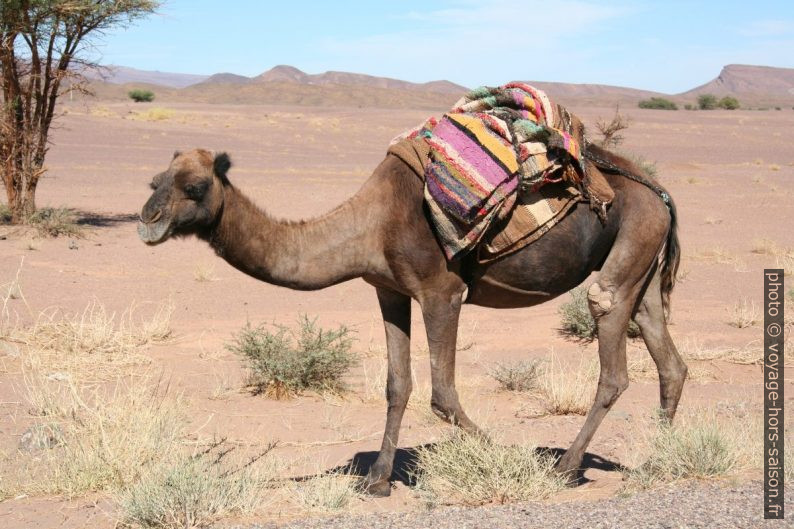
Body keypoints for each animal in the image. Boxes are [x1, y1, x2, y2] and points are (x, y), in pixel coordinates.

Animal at [136, 141, 680, 496]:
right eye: (154, 182)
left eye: (195, 186)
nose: (148, 221)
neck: (370, 225)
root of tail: (660, 191)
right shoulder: (389, 291)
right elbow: (397, 385)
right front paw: (377, 480)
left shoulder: (443, 292)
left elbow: (443, 395)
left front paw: (503, 457)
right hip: (644, 265)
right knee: (669, 362)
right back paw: (658, 458)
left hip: (630, 241)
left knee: (611, 349)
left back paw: (566, 467)